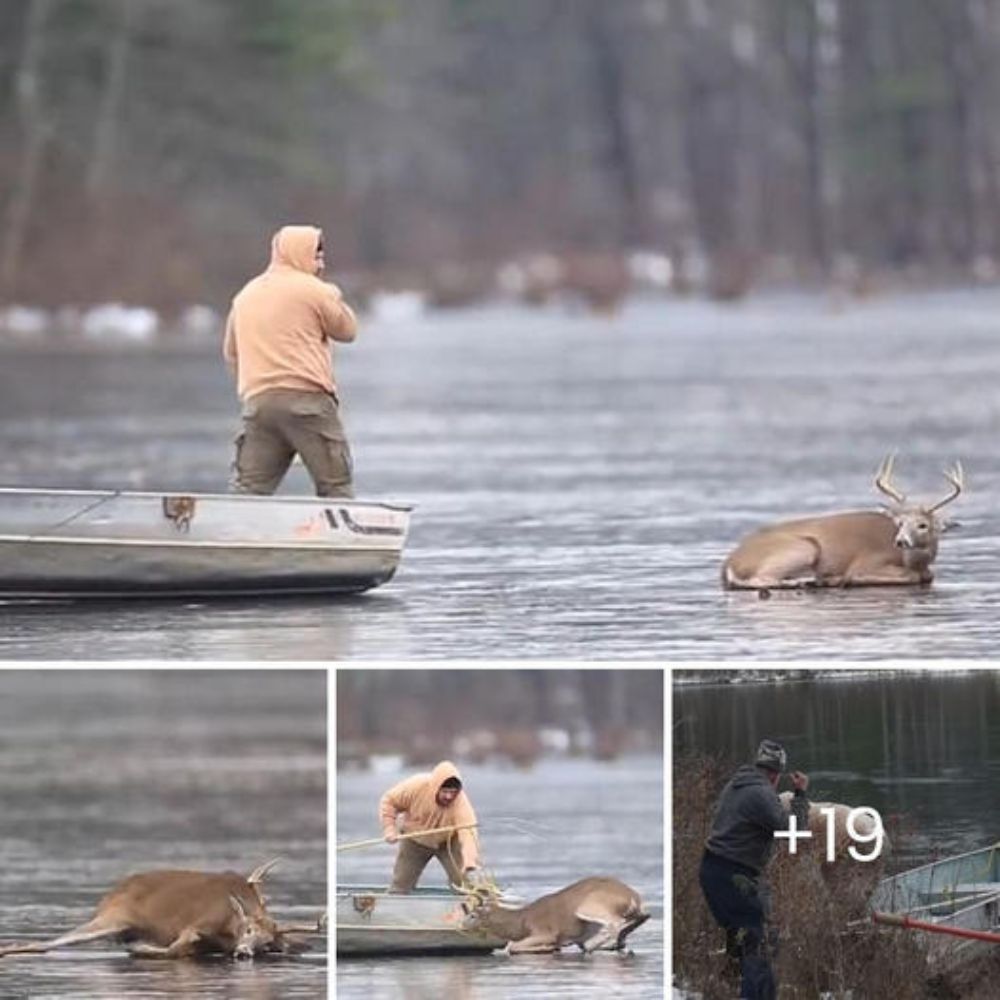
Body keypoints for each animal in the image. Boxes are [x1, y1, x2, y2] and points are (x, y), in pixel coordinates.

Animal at [0, 856, 322, 956]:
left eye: (267, 943)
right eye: (248, 930)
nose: (244, 952)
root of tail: (109, 897)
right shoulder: (195, 924)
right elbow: (175, 948)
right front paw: (140, 947)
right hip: (113, 919)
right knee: (44, 943)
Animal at [462, 876, 648, 952]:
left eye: (472, 915)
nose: (461, 926)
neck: (521, 921)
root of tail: (633, 896)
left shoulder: (545, 932)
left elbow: (510, 946)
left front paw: (547, 947)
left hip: (588, 905)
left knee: (614, 923)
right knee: (641, 918)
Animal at [724, 456, 964, 588]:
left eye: (923, 525)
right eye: (900, 523)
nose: (901, 541)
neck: (910, 560)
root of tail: (730, 563)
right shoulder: (869, 561)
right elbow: (913, 576)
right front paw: (846, 579)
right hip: (804, 547)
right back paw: (810, 581)